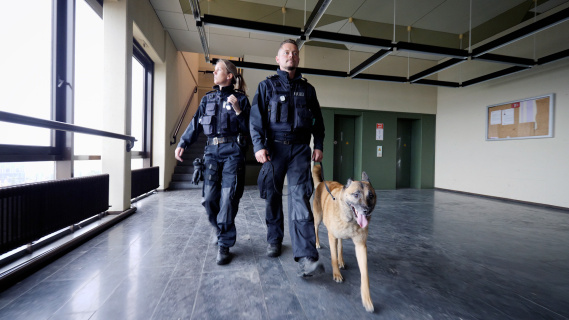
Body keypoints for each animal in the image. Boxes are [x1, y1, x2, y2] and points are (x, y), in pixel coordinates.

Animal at [310, 165, 378, 312]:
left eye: (370, 195)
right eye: (356, 195)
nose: (366, 210)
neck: (350, 219)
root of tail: (321, 184)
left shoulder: (361, 245)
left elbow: (364, 274)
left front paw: (367, 298)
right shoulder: (331, 236)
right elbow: (333, 258)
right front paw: (336, 274)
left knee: (340, 245)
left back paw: (341, 260)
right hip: (317, 218)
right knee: (316, 229)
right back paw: (317, 243)